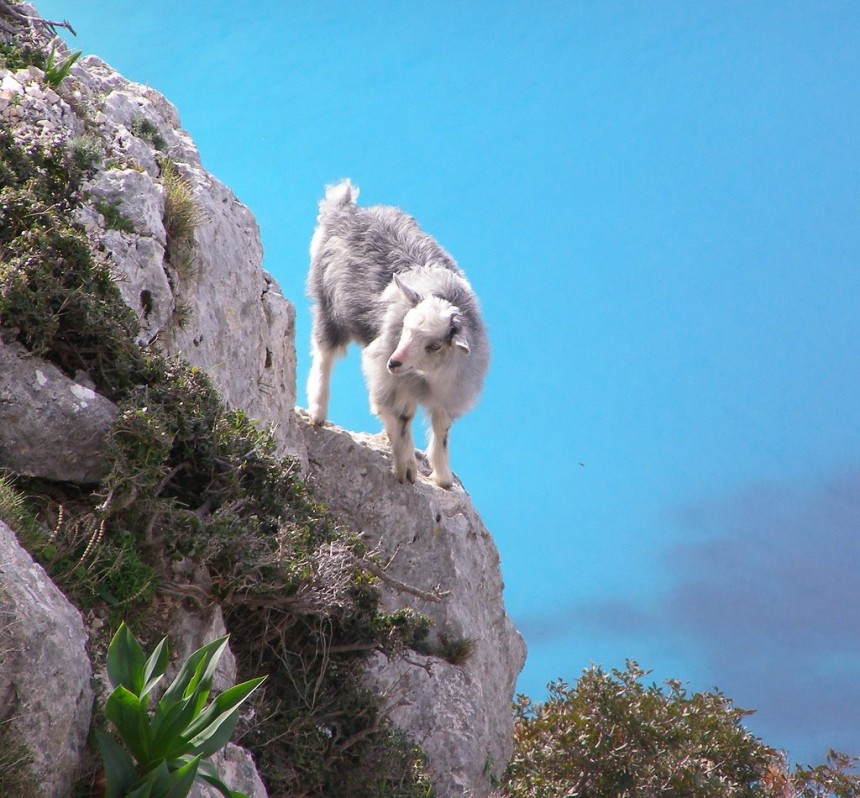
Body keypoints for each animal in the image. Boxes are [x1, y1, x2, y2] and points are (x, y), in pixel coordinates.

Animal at [306, 182, 488, 490]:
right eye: (405, 328)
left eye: (435, 345)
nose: (394, 362)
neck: (428, 377)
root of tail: (346, 207)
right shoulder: (390, 378)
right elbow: (403, 418)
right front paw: (407, 470)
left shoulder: (446, 394)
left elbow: (441, 431)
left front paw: (443, 478)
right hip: (329, 304)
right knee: (324, 354)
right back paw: (317, 413)